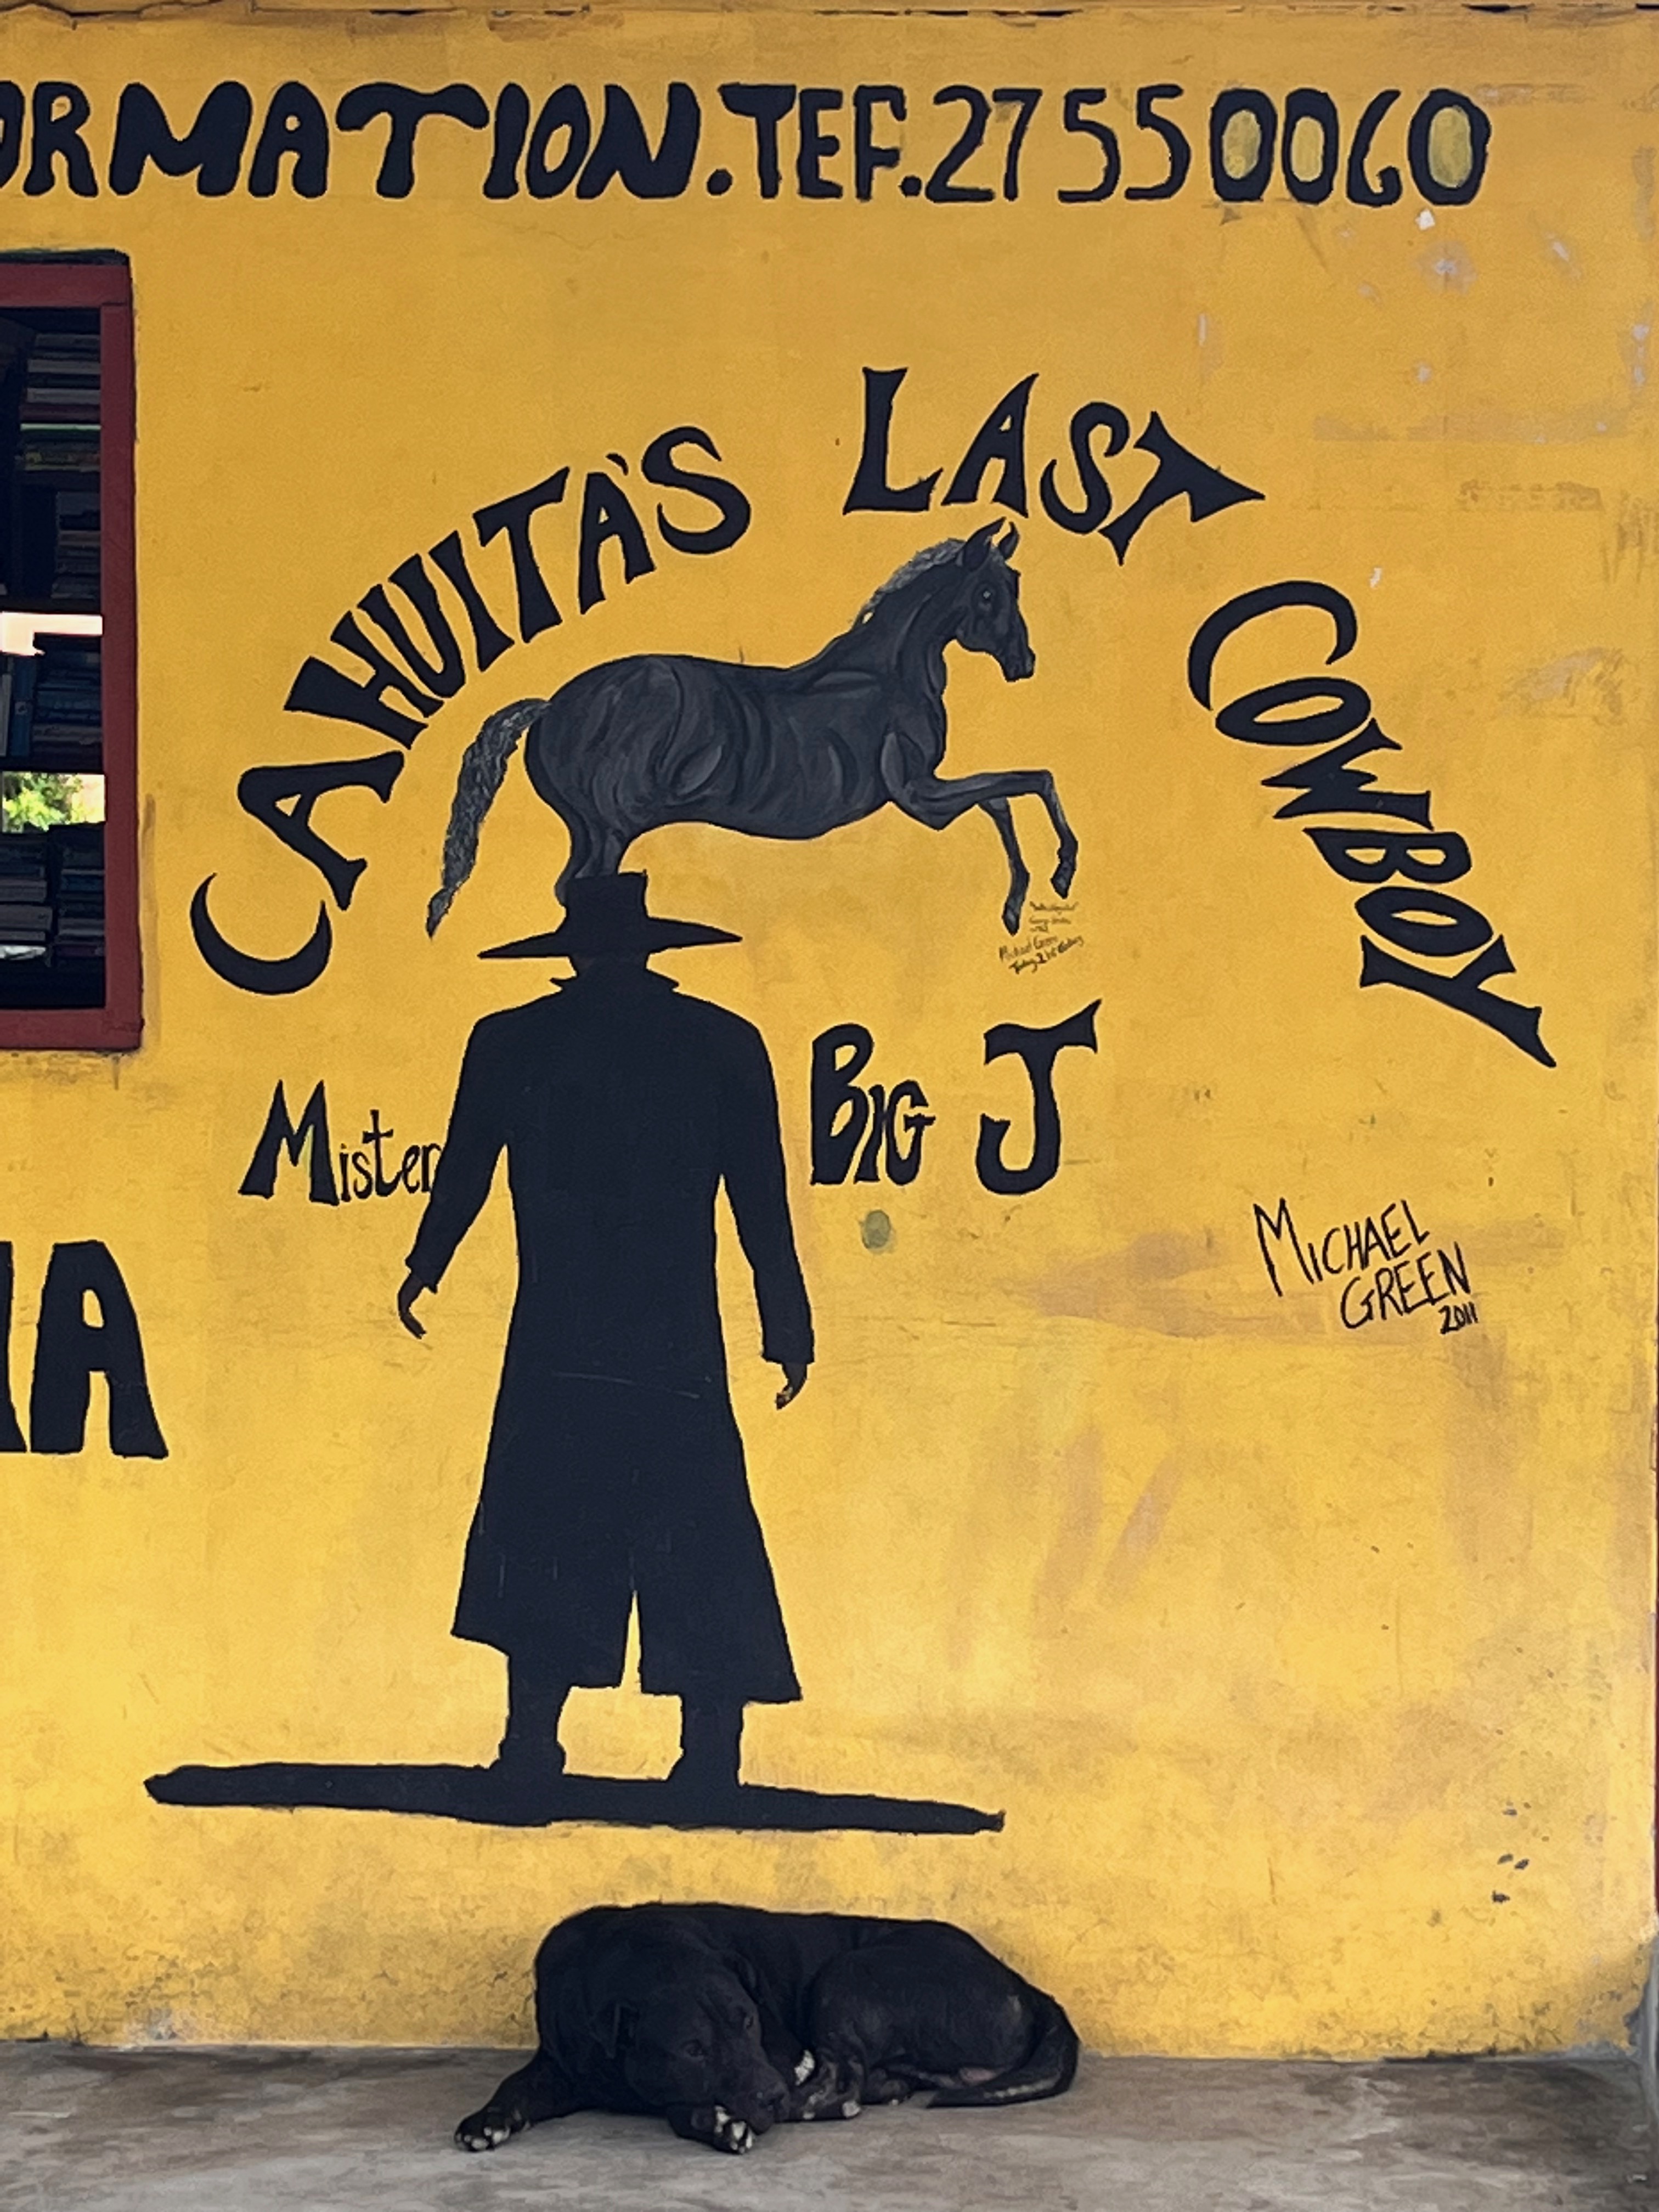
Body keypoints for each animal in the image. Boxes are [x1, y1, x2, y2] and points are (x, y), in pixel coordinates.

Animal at [456, 1903, 1079, 2156]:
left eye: (751, 2020)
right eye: (692, 2048)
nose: (774, 2095)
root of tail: (1023, 1985)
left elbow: (681, 2108)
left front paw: (716, 2122)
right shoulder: (560, 2066)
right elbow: (516, 2086)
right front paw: (487, 2121)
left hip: (846, 1974)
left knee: (843, 2080)